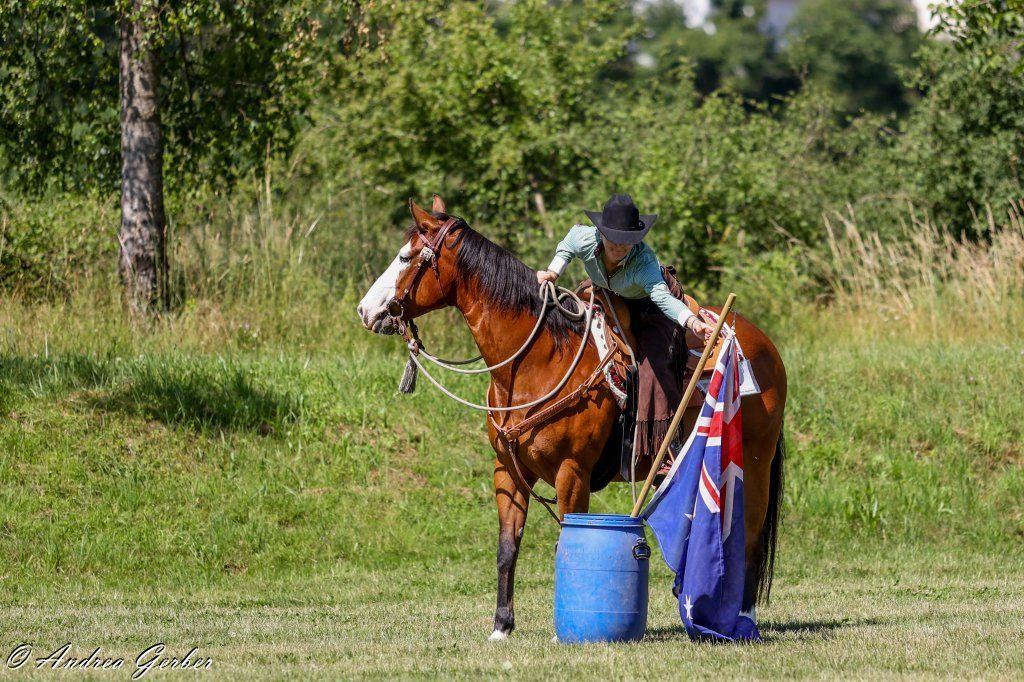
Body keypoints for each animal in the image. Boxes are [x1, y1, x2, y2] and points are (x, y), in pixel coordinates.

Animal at [357, 196, 787, 641]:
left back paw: (742, 618)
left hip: (753, 463)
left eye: (405, 257)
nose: (365, 310)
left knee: (750, 537)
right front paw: (501, 625)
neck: (538, 360)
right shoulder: (507, 471)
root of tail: (761, 341)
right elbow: (507, 548)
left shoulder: (572, 472)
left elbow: (566, 540)